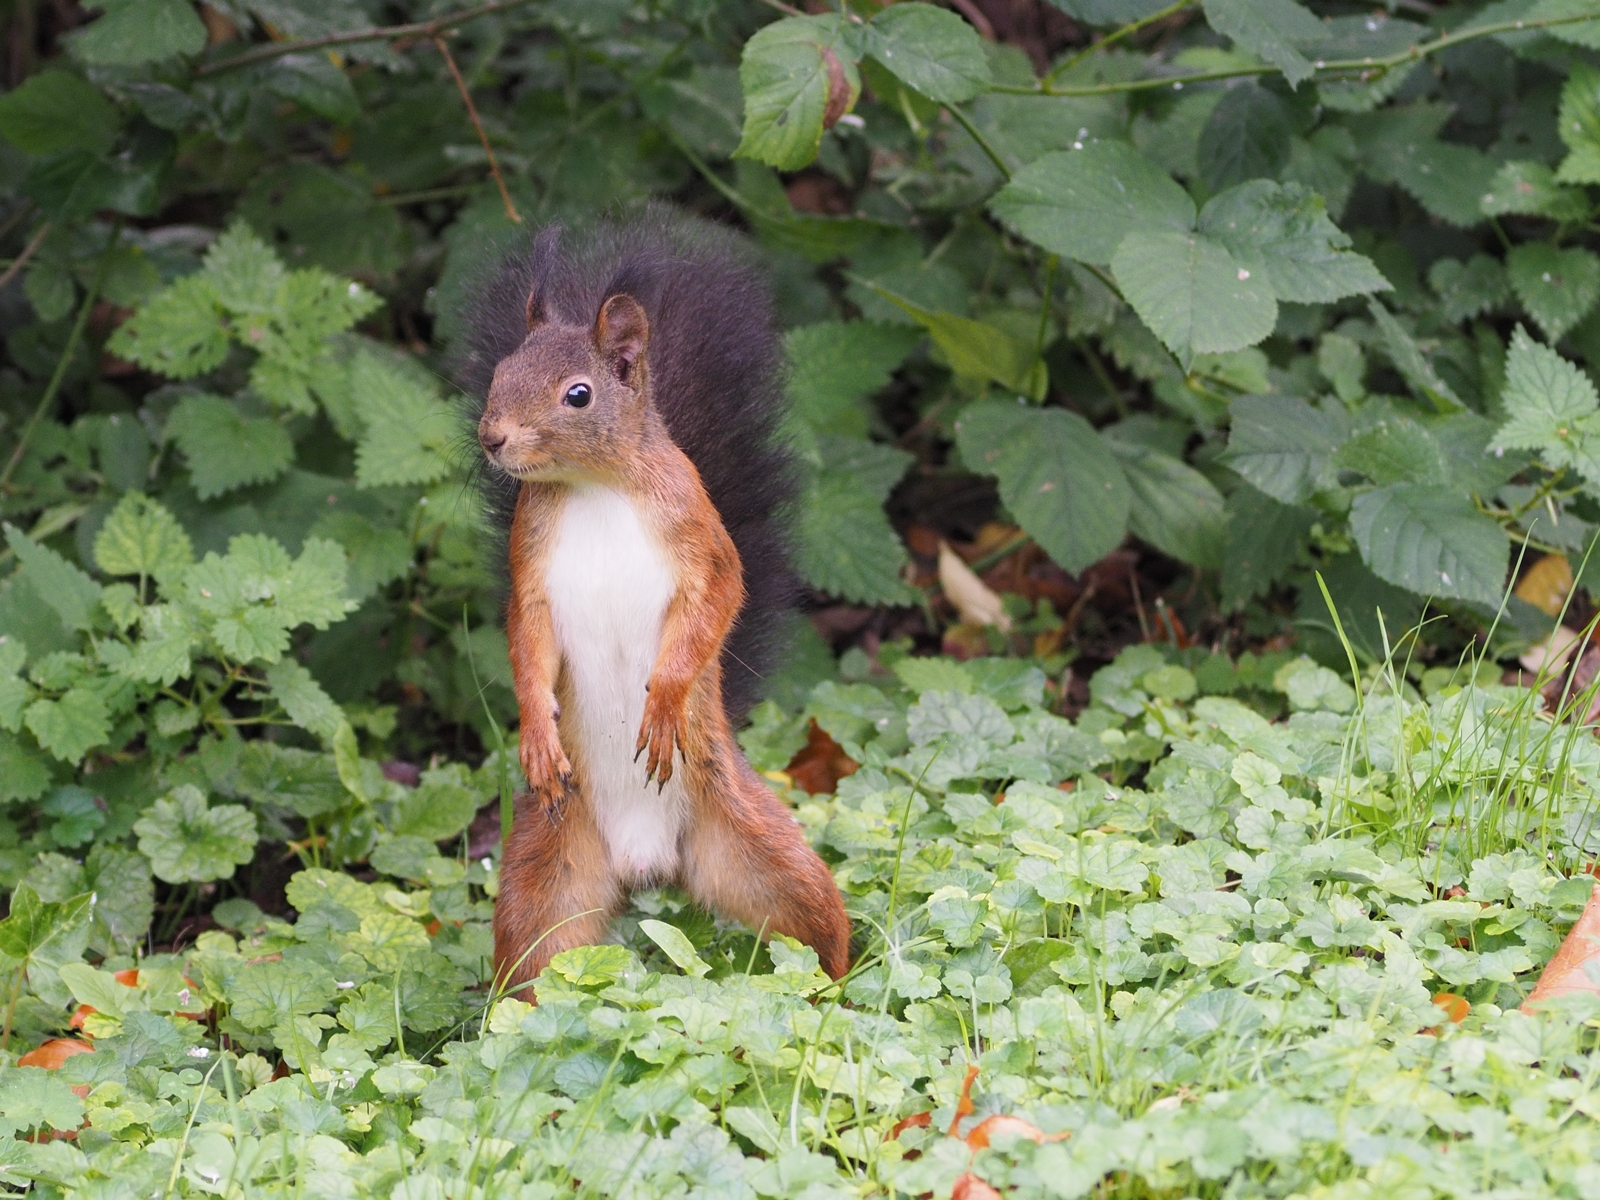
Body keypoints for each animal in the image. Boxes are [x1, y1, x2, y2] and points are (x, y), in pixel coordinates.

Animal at [461, 208, 852, 990]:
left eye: (578, 394)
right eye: (500, 372)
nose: (491, 438)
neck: (595, 487)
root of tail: (649, 864)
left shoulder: (700, 534)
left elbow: (721, 599)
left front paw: (665, 701)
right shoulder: (531, 571)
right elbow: (526, 640)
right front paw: (537, 732)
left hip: (763, 848)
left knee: (817, 931)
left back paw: (842, 990)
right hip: (544, 876)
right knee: (534, 964)